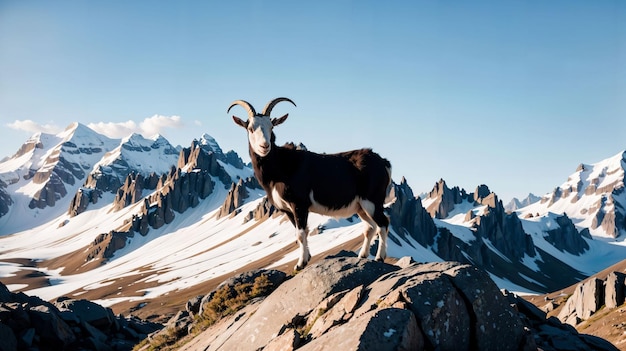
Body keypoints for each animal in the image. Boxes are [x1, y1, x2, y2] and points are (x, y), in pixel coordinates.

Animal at [229, 97, 390, 270]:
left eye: (271, 127)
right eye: (250, 128)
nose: (264, 146)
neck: (282, 166)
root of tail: (384, 163)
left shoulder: (299, 204)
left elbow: (300, 234)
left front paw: (300, 264)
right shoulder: (288, 209)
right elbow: (300, 233)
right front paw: (306, 258)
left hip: (372, 200)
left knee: (383, 223)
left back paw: (379, 257)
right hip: (361, 206)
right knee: (370, 227)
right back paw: (362, 255)